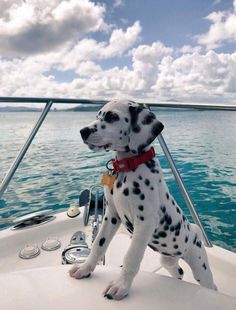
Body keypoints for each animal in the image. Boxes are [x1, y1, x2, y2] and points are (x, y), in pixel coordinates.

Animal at [69, 99, 217, 300]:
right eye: (97, 115)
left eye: (112, 116)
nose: (82, 131)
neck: (129, 166)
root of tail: (193, 230)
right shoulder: (112, 215)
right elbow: (98, 245)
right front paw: (85, 269)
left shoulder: (145, 223)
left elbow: (131, 258)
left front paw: (120, 286)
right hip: (168, 259)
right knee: (178, 271)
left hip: (199, 265)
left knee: (210, 283)